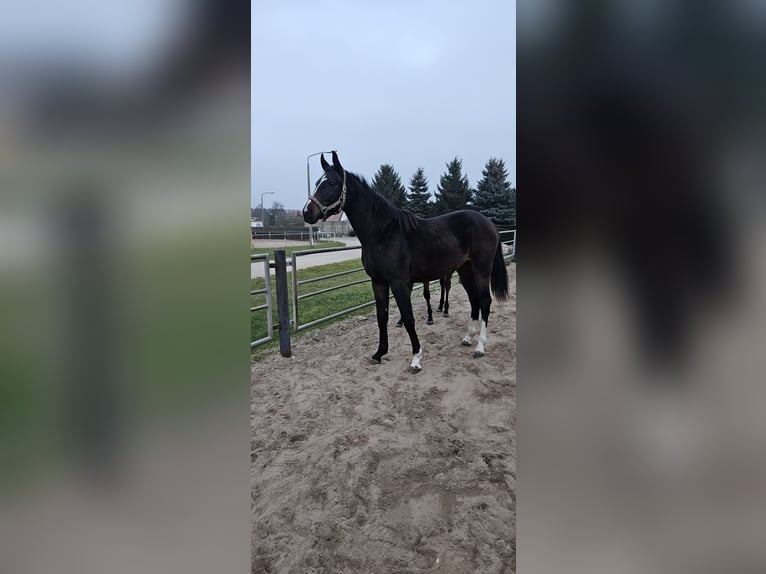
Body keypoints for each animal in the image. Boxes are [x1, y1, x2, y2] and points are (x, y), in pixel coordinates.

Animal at [304, 151, 510, 372]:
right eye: (316, 182)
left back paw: (480, 347)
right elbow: (382, 317)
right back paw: (467, 338)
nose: (308, 213)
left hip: (482, 270)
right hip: (465, 270)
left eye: (332, 182)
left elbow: (409, 319)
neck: (383, 233)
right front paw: (379, 353)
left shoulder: (400, 283)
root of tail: (490, 223)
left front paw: (416, 358)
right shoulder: (378, 282)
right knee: (474, 300)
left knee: (485, 301)